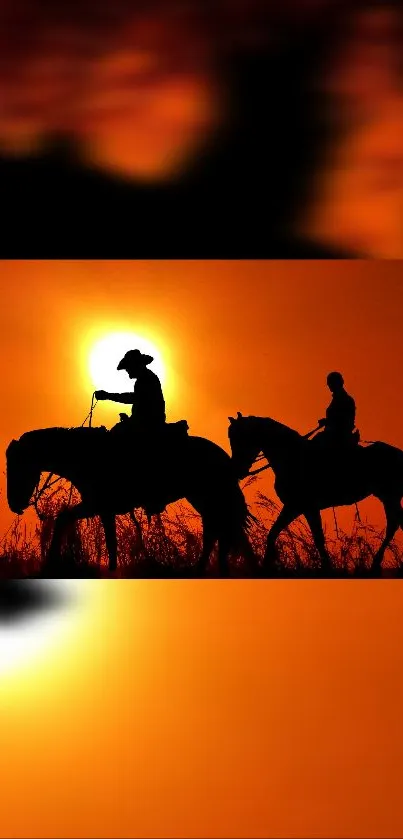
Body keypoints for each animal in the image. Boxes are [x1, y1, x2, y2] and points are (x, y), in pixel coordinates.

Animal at [5, 426, 256, 576]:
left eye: (18, 467)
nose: (14, 505)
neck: (86, 454)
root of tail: (224, 456)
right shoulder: (100, 508)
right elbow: (105, 538)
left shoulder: (97, 505)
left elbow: (79, 526)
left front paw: (51, 563)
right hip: (204, 499)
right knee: (217, 530)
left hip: (210, 498)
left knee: (218, 530)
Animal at [229, 412, 403, 572]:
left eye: (241, 438)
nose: (237, 469)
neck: (292, 457)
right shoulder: (298, 508)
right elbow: (274, 533)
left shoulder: (302, 507)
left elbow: (317, 538)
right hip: (388, 497)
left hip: (390, 496)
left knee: (393, 525)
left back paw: (376, 563)